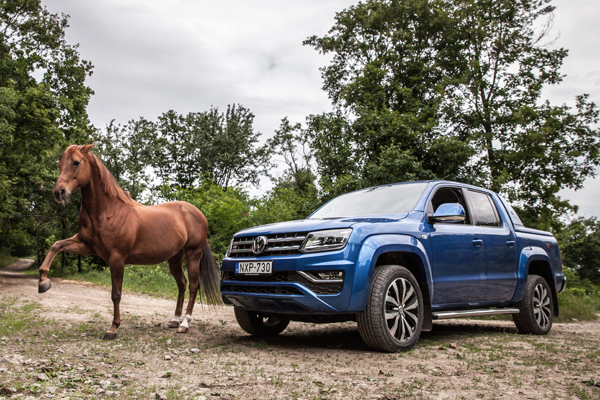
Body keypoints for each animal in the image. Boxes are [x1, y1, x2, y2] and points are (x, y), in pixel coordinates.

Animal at [38, 144, 220, 338]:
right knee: (182, 284)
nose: (59, 192)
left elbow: (116, 294)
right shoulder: (86, 246)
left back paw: (184, 324)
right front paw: (43, 282)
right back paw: (174, 320)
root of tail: (198, 213)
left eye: (76, 162)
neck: (108, 211)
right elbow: (56, 245)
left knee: (193, 286)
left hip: (193, 255)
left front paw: (113, 328)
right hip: (175, 258)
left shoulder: (117, 258)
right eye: (59, 164)